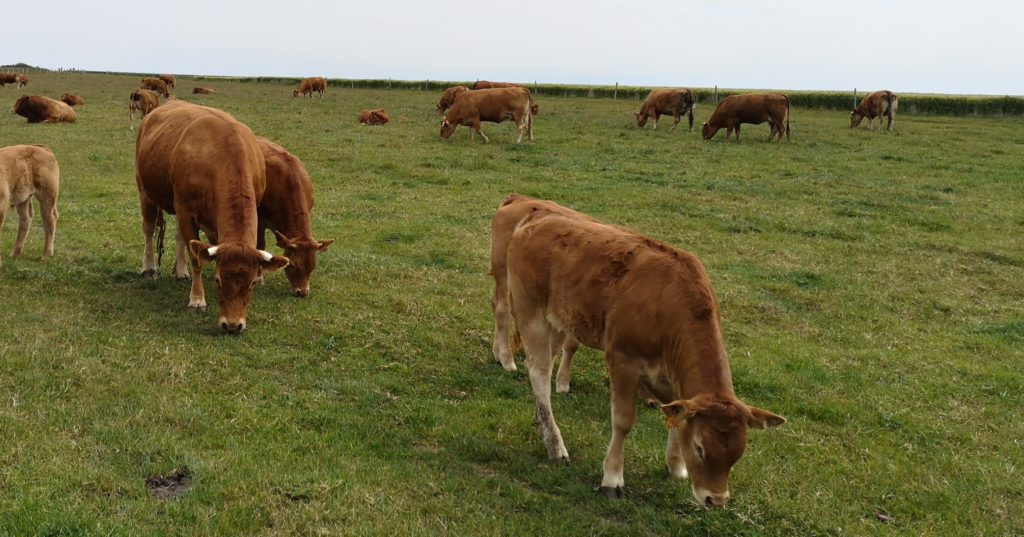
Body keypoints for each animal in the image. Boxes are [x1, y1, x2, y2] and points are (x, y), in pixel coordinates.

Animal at [134, 99, 288, 332]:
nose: (232, 325)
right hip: (145, 192)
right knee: (149, 229)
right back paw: (149, 268)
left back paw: (181, 271)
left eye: (252, 283)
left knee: (179, 237)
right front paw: (197, 299)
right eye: (218, 280)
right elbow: (197, 258)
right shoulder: (186, 211)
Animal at [254, 138, 331, 295]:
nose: (302, 292)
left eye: (313, 266)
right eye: (293, 265)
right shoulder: (260, 218)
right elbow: (260, 245)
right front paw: (259, 277)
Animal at [507, 211, 786, 508]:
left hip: (560, 321)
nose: (715, 499)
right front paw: (612, 478)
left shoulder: (673, 381)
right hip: (531, 314)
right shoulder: (623, 360)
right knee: (539, 372)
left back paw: (541, 421)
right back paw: (555, 444)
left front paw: (675, 466)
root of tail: (536, 219)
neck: (667, 309)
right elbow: (623, 421)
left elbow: (675, 416)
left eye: (738, 453)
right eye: (699, 447)